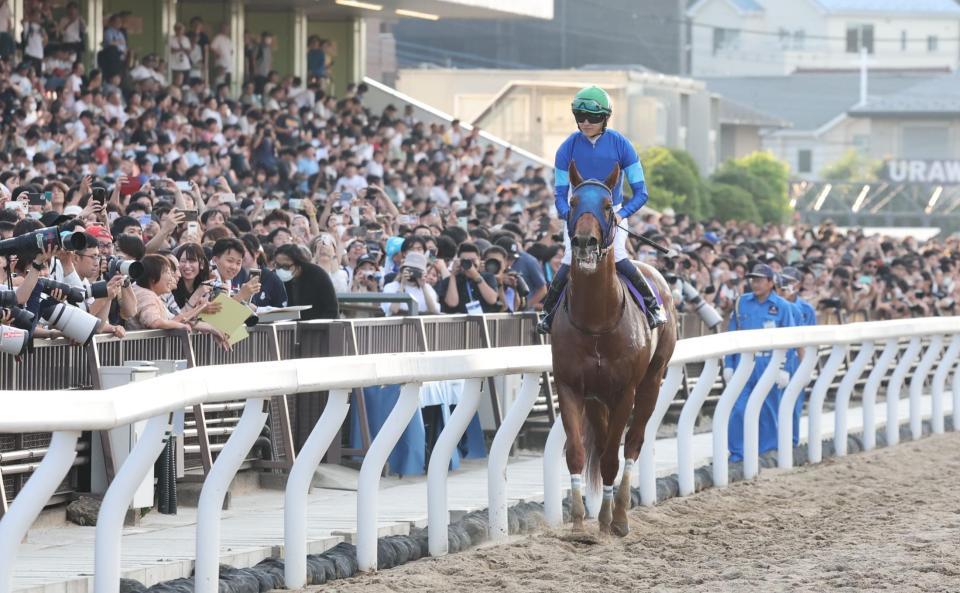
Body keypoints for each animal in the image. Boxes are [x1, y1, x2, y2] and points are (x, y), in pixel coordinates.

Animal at [552, 162, 680, 536]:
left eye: (609, 206)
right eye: (573, 201)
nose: (584, 242)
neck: (596, 320)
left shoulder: (626, 390)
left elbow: (613, 455)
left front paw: (614, 519)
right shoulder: (569, 385)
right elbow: (577, 452)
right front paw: (580, 523)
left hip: (652, 381)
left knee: (633, 443)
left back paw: (619, 514)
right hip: (597, 397)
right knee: (603, 438)